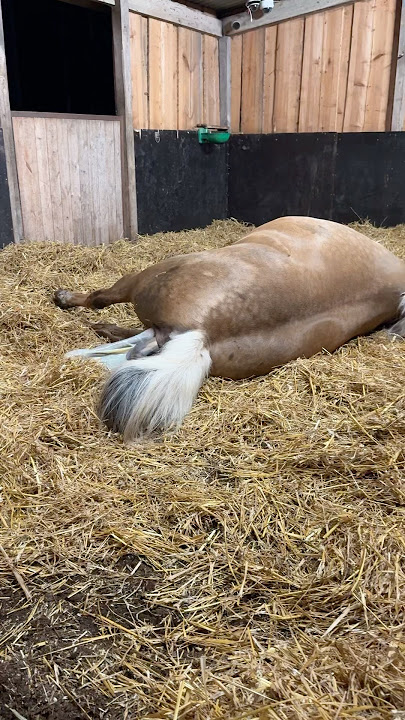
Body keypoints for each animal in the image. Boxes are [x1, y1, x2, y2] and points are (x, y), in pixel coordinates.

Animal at [54, 216, 405, 441]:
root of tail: (204, 332)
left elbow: (101, 298)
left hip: (145, 279)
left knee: (104, 301)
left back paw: (67, 301)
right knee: (135, 343)